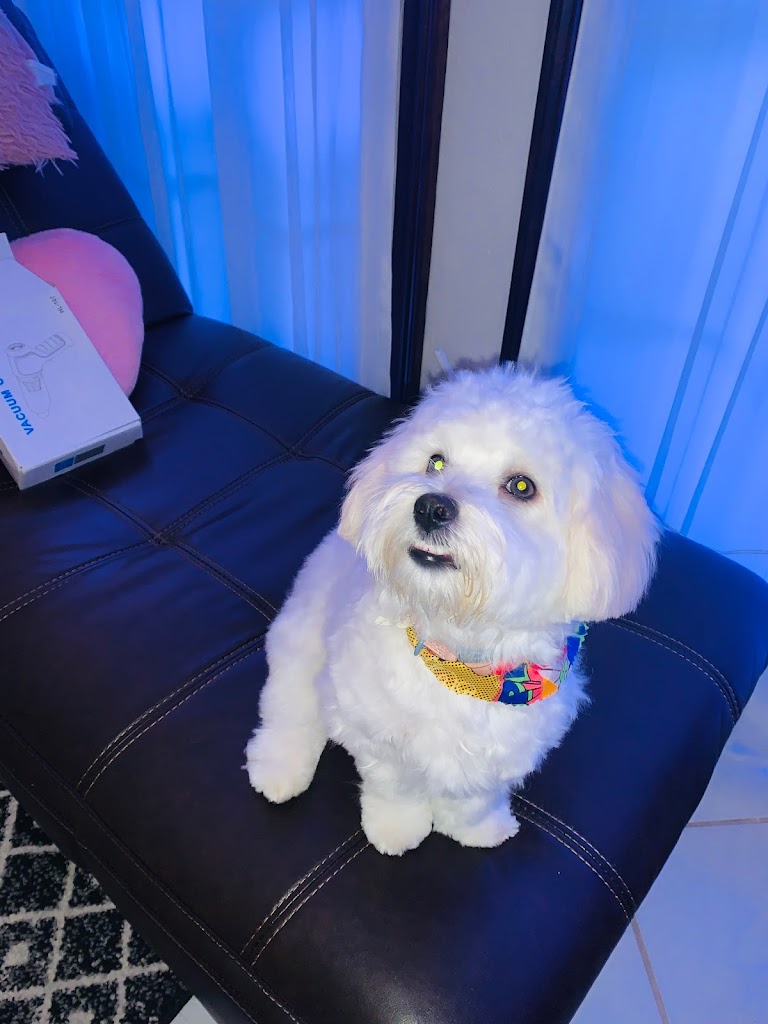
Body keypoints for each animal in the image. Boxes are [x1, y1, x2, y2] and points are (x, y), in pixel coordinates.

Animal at [246, 364, 659, 855]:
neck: (462, 661)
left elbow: (472, 799)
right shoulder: (371, 729)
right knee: (289, 707)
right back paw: (279, 767)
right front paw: (397, 828)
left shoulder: (504, 752)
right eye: (436, 462)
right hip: (299, 641)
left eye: (521, 486)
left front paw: (474, 828)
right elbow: (394, 785)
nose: (431, 506)